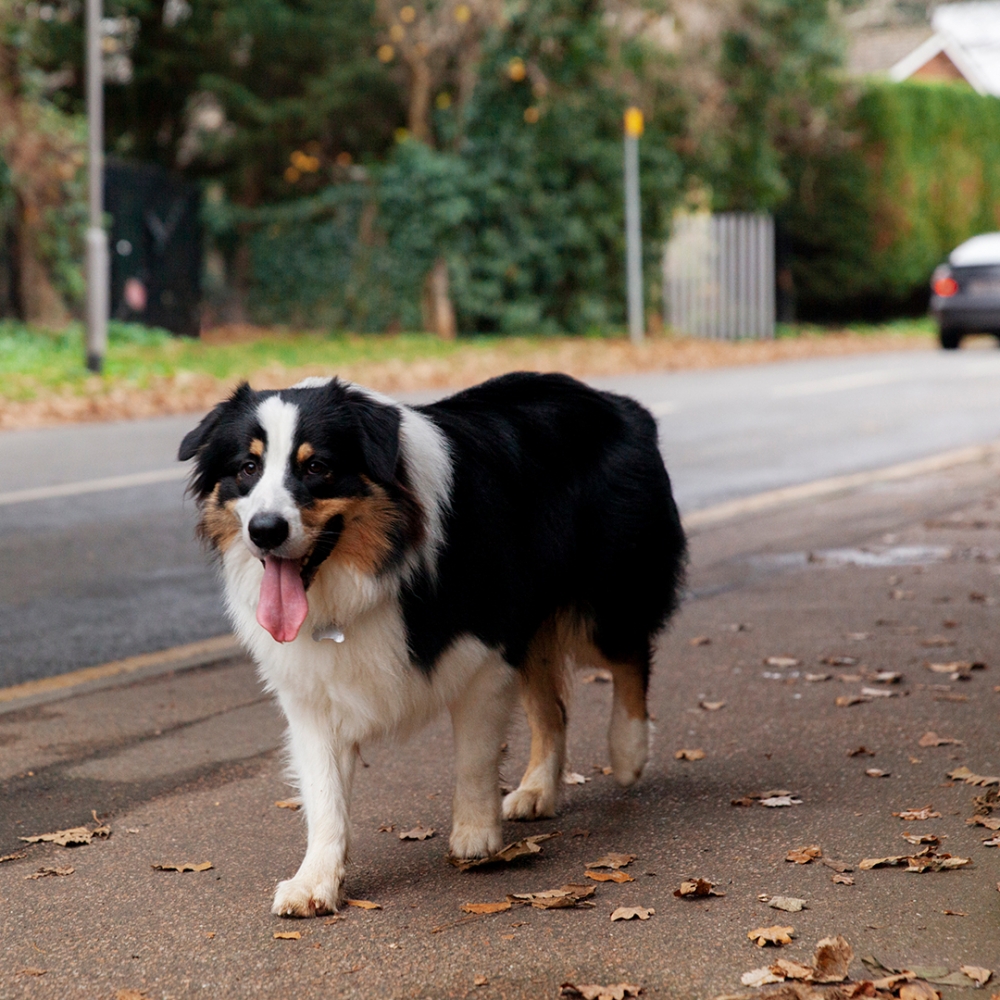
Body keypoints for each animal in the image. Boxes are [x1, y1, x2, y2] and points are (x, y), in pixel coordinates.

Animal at [180, 374, 688, 916]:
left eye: (316, 467)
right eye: (247, 468)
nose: (265, 531)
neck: (372, 570)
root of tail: (617, 402)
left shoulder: (485, 653)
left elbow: (474, 757)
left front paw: (475, 835)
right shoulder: (313, 691)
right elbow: (324, 795)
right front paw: (314, 881)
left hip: (603, 595)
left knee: (630, 654)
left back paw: (628, 750)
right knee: (553, 708)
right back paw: (537, 789)